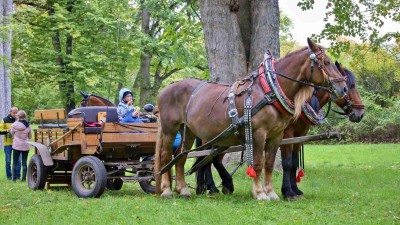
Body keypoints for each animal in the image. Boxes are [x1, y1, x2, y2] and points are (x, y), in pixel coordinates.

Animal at [155, 38, 348, 200]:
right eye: (326, 62)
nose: (343, 88)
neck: (267, 90)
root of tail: (166, 89)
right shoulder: (258, 134)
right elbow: (258, 164)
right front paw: (260, 193)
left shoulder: (276, 136)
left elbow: (269, 164)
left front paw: (271, 193)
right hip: (171, 129)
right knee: (166, 157)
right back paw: (167, 190)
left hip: (187, 131)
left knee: (180, 157)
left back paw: (183, 190)